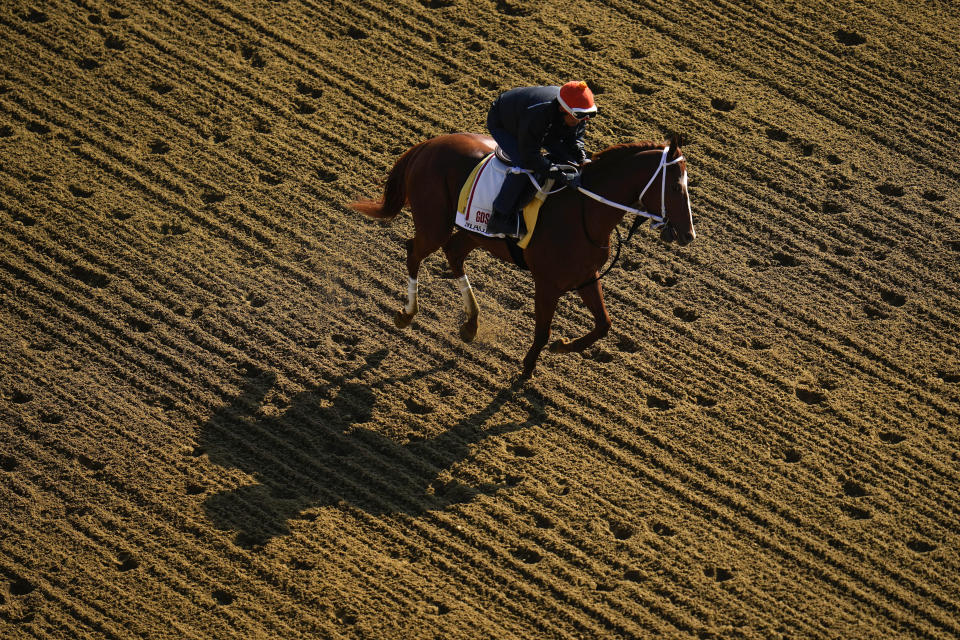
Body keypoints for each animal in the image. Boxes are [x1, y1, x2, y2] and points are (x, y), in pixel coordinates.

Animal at [348, 132, 692, 378]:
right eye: (676, 187)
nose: (689, 235)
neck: (584, 211)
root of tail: (428, 145)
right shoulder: (548, 283)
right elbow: (542, 330)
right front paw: (528, 367)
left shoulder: (586, 276)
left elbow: (603, 324)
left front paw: (562, 346)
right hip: (435, 223)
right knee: (414, 253)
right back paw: (407, 313)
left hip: (473, 233)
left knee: (453, 254)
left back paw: (471, 323)